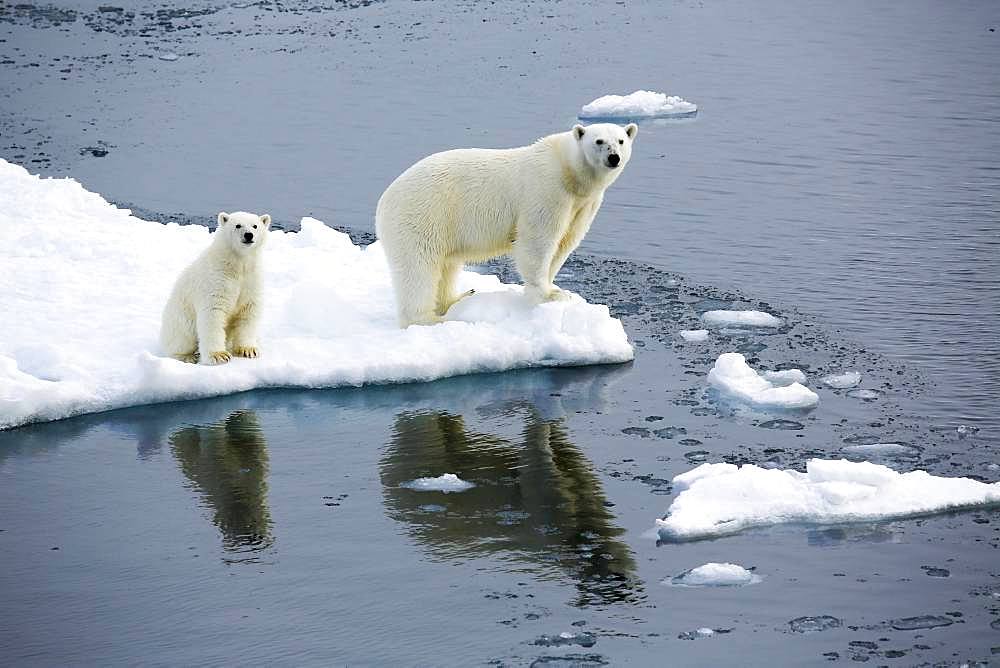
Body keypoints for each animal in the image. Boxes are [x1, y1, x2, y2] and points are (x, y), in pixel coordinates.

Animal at [376, 123, 640, 328]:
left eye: (621, 140)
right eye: (599, 141)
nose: (613, 157)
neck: (569, 172)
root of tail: (383, 202)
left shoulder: (583, 204)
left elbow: (565, 243)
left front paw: (554, 288)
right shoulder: (547, 190)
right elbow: (538, 240)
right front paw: (550, 295)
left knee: (447, 266)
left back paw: (459, 297)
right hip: (422, 216)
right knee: (418, 268)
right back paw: (429, 319)